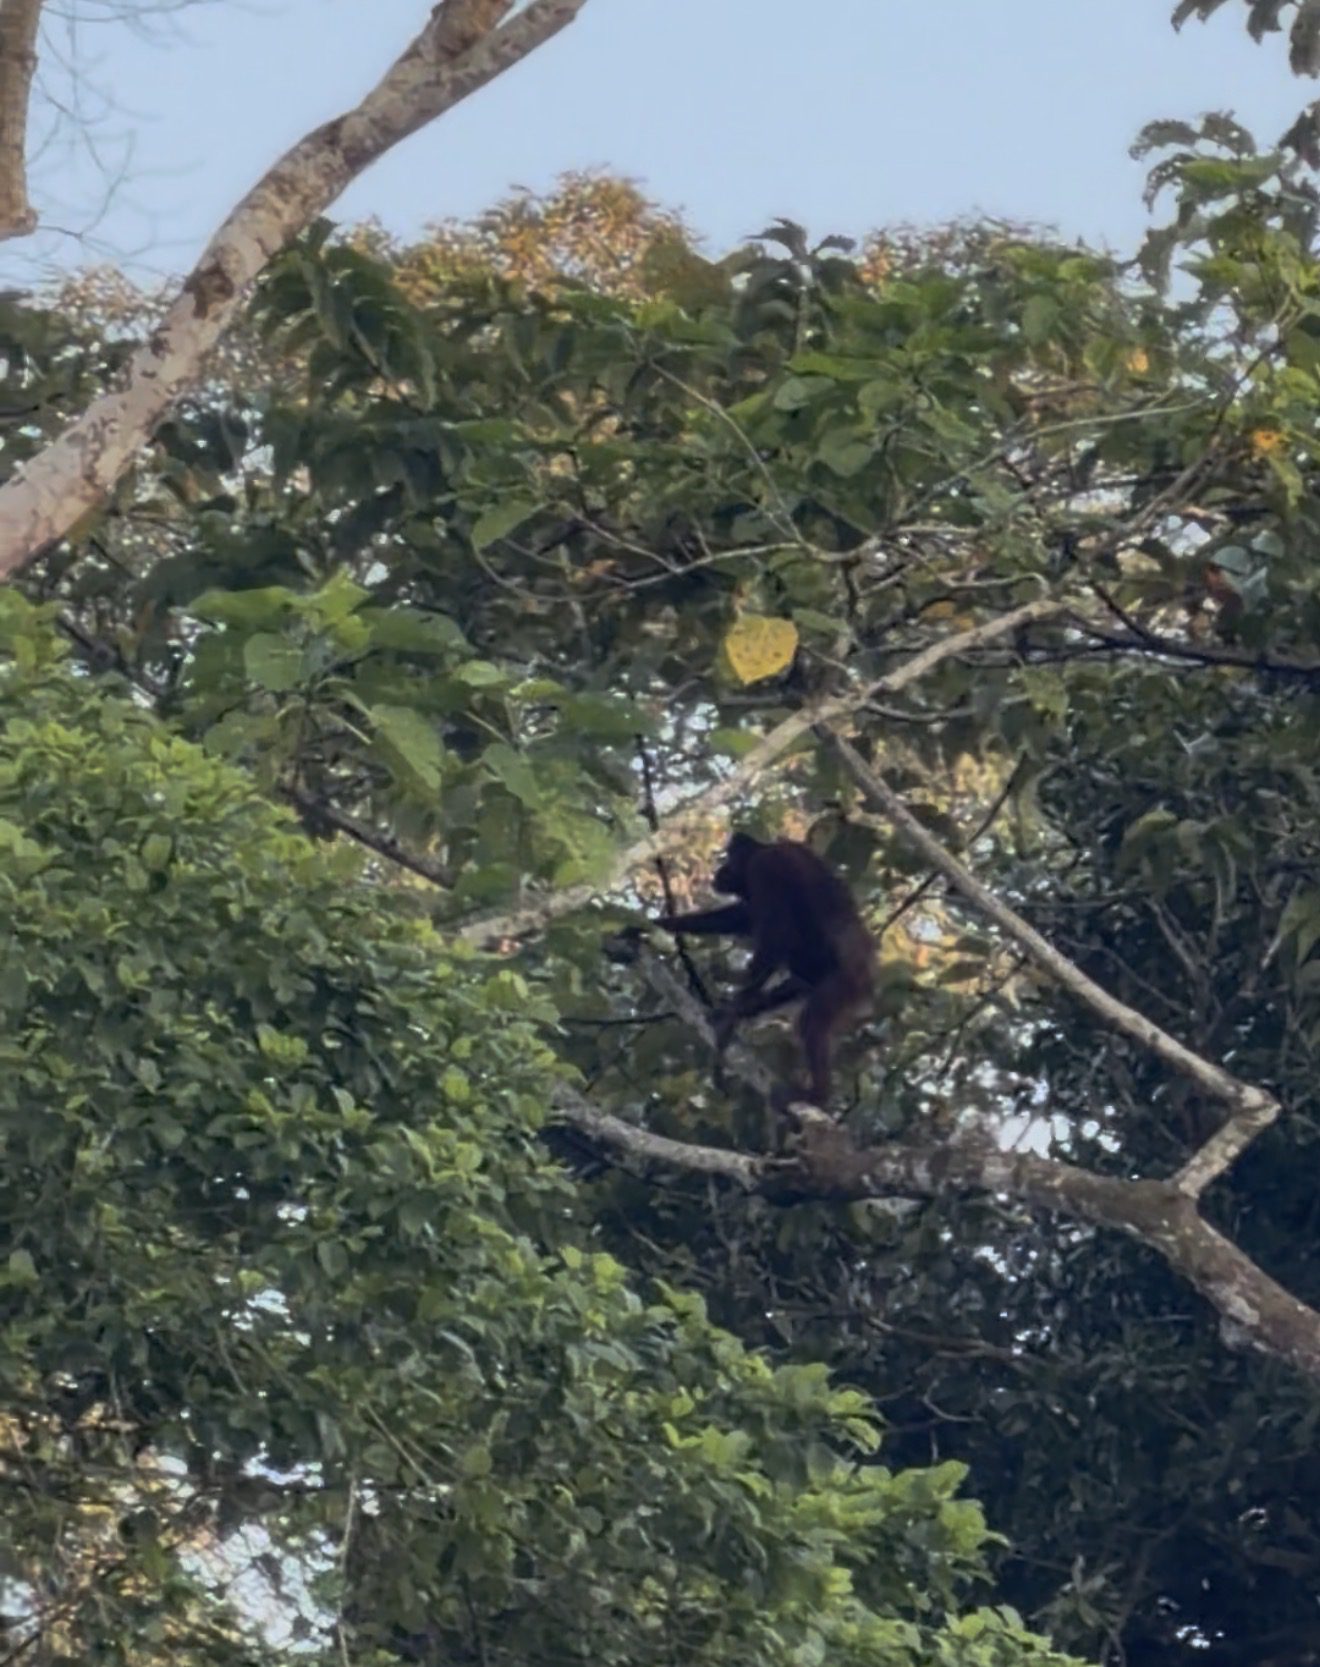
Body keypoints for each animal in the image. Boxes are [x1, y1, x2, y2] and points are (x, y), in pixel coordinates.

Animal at [655, 831, 874, 1105]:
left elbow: (777, 934)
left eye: (728, 858)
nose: (719, 870)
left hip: (846, 981)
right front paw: (658, 924)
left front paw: (733, 1009)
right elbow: (741, 917)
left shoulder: (765, 867)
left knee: (811, 1022)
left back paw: (817, 1095)